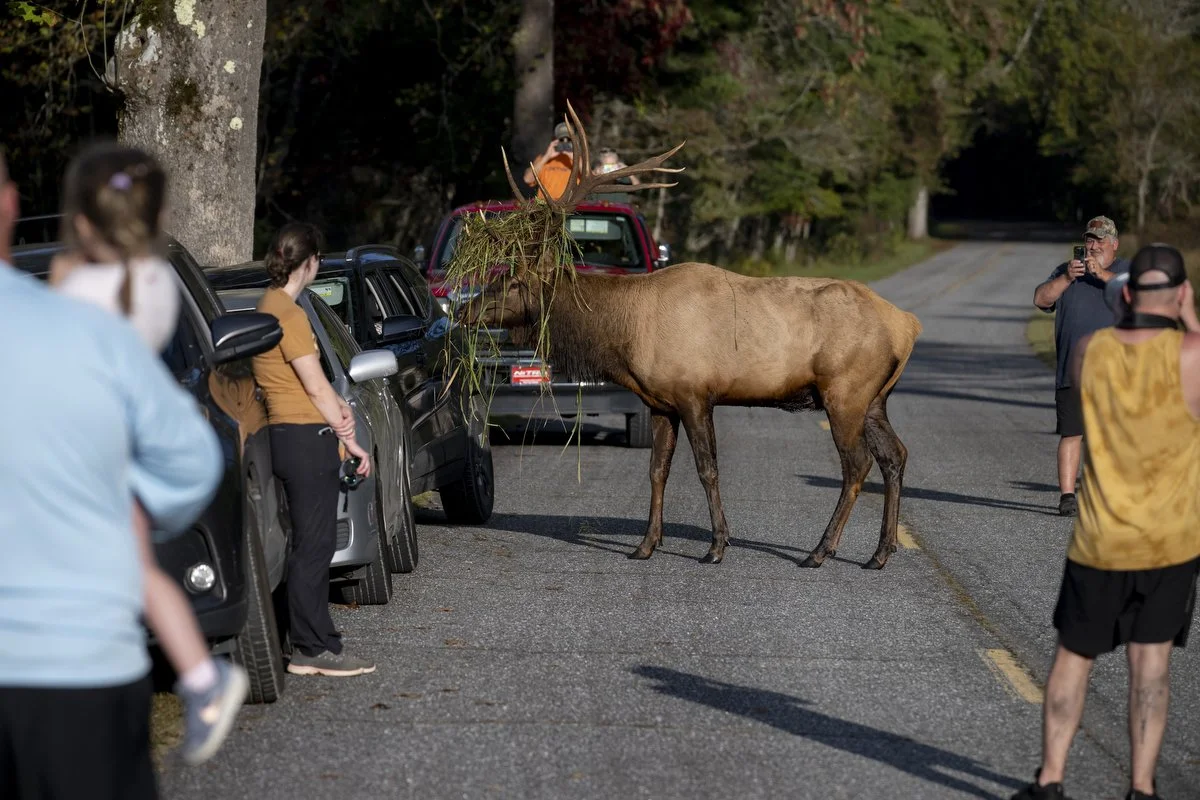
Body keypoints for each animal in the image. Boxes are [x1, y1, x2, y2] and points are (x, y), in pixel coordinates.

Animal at [453, 103, 923, 569]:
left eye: (513, 281)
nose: (463, 310)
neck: (624, 335)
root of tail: (907, 324)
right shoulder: (660, 401)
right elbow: (656, 470)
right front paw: (646, 544)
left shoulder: (694, 391)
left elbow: (706, 468)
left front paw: (716, 546)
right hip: (874, 398)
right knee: (895, 455)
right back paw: (880, 552)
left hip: (844, 390)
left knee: (857, 465)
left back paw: (820, 551)